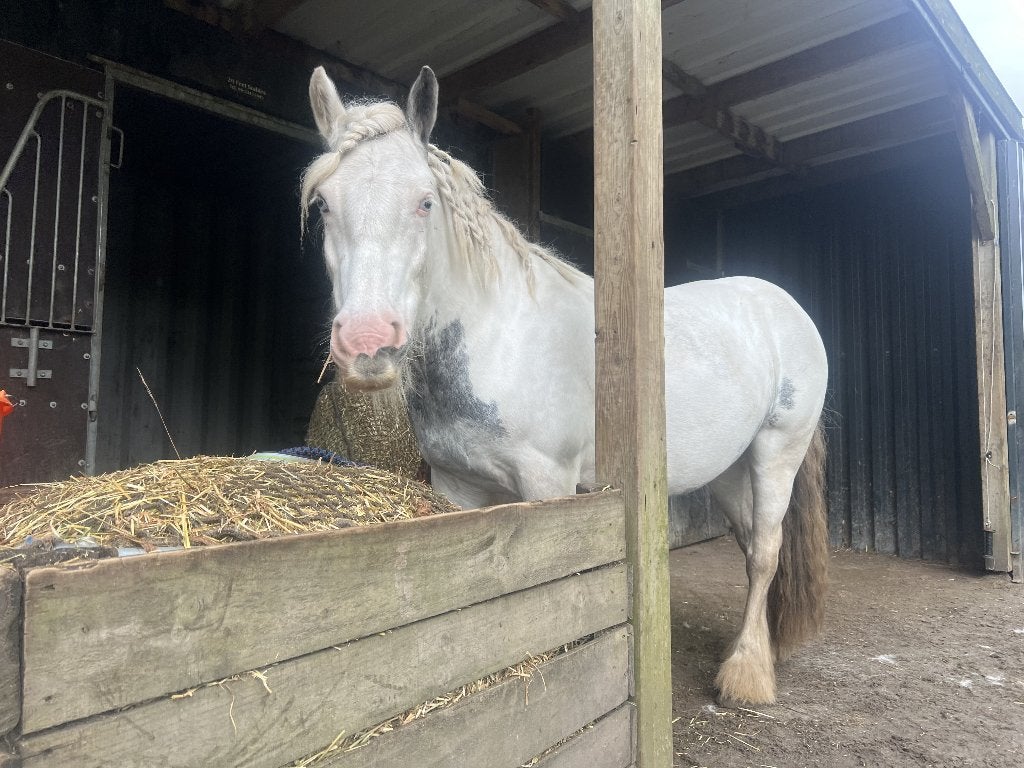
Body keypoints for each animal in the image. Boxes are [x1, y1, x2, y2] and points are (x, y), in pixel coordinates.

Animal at [300, 65, 829, 707]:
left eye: (424, 201)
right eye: (323, 204)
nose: (368, 344)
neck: (501, 337)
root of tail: (786, 307)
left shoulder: (548, 485)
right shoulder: (458, 487)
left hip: (777, 453)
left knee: (766, 555)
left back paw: (746, 675)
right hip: (729, 468)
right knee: (752, 544)